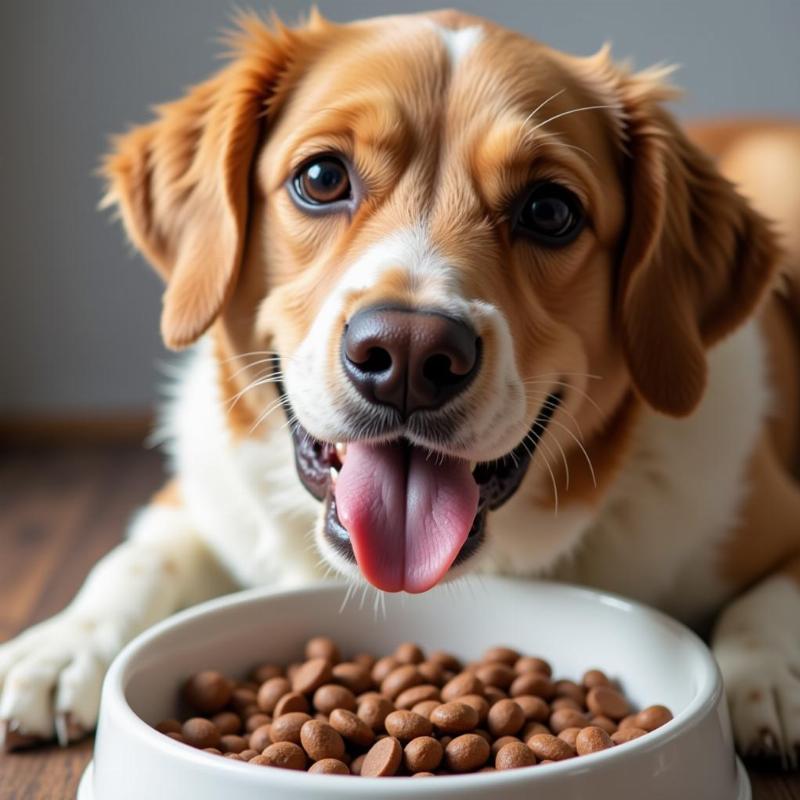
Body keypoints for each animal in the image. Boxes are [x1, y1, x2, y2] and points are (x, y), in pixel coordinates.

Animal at [1, 9, 800, 764]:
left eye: (550, 210)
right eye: (321, 178)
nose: (412, 356)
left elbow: (769, 599)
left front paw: (771, 672)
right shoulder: (198, 493)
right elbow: (137, 555)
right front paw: (60, 646)